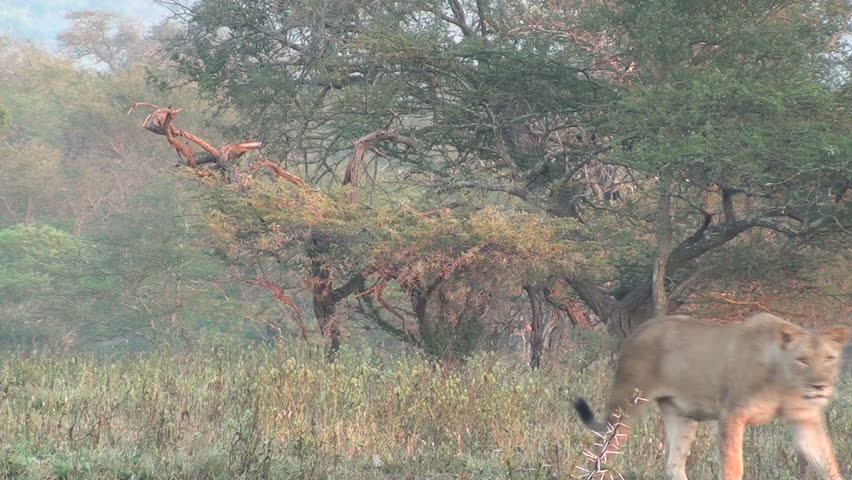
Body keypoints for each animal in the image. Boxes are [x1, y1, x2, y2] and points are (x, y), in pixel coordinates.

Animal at [573, 313, 849, 480]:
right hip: (625, 405)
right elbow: (733, 465)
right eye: (803, 360)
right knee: (598, 453)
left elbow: (827, 462)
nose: (819, 387)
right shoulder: (732, 414)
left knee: (673, 465)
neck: (784, 381)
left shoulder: (805, 419)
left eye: (829, 358)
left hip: (681, 415)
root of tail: (640, 328)